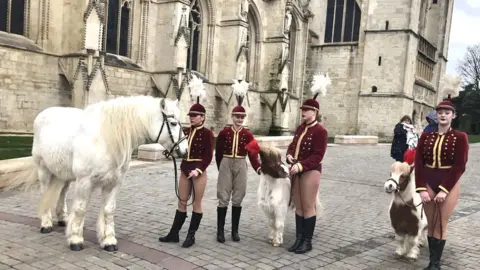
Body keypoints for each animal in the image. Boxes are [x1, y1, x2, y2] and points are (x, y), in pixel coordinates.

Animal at [0, 96, 188, 252]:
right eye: (173, 123)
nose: (185, 150)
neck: (106, 139)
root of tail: (43, 114)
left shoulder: (114, 183)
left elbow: (108, 210)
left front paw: (108, 240)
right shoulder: (85, 182)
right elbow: (81, 209)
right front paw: (75, 239)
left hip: (64, 174)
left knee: (62, 192)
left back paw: (63, 218)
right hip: (43, 170)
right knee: (45, 193)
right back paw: (46, 223)